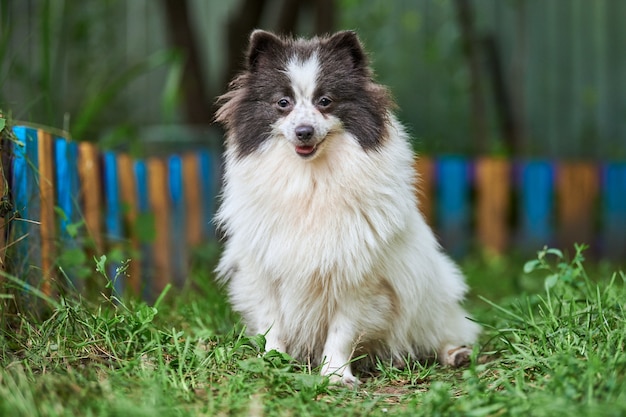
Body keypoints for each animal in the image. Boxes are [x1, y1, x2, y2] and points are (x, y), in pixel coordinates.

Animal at [212, 30, 480, 386]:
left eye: (325, 101)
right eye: (283, 103)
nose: (304, 131)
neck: (310, 181)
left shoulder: (358, 277)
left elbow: (342, 330)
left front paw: (336, 374)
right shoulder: (264, 268)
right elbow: (273, 321)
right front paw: (272, 360)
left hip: (434, 295)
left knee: (444, 330)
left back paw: (454, 353)